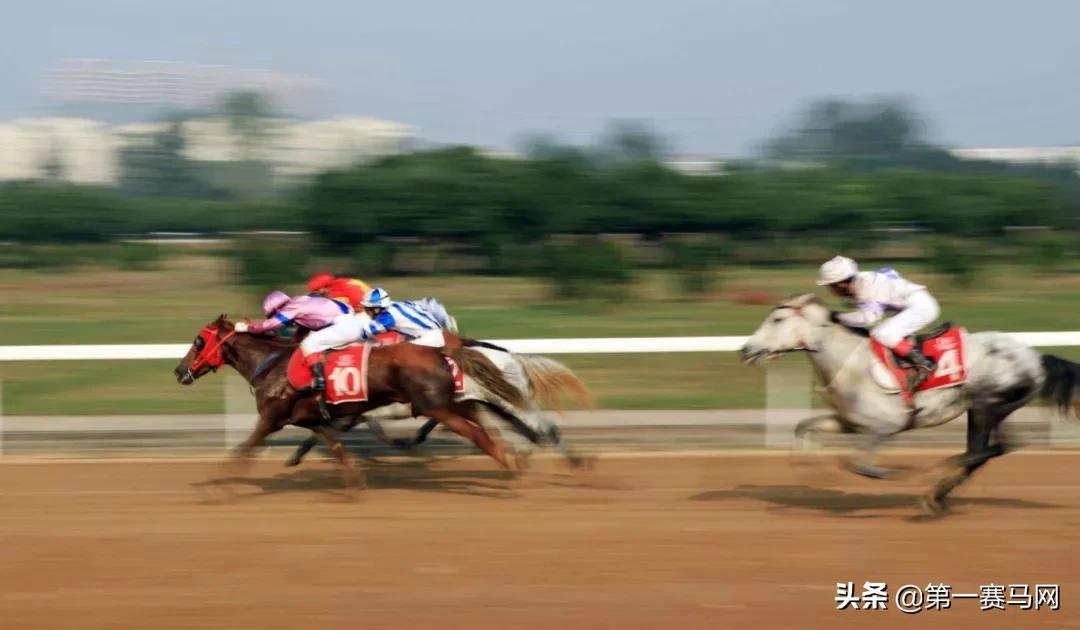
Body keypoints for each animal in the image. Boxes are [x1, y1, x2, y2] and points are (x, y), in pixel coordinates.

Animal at [743, 293, 1080, 514]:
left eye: (777, 318)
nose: (746, 349)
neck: (850, 362)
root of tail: (1036, 358)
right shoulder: (849, 423)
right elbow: (803, 428)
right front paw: (811, 471)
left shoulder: (885, 427)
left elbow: (858, 463)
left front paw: (889, 475)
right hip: (981, 409)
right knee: (983, 452)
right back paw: (937, 494)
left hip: (988, 404)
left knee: (995, 447)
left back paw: (941, 473)